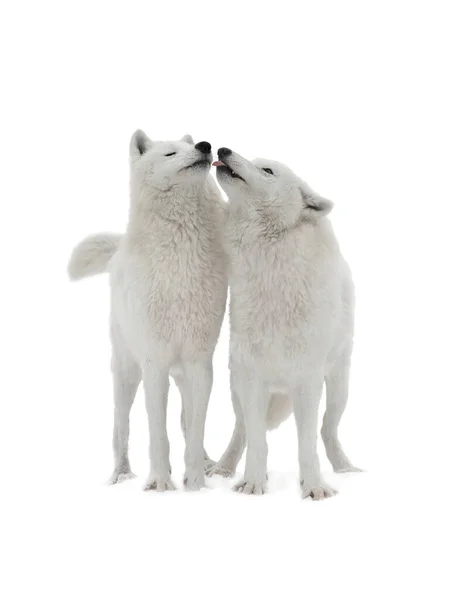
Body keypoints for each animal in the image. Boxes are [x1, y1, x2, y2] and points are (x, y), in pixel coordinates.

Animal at [67, 129, 228, 490]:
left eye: (190, 146)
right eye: (170, 154)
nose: (205, 146)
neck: (179, 263)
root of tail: (117, 254)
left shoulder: (200, 363)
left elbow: (195, 428)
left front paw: (196, 483)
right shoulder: (154, 364)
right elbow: (158, 434)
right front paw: (161, 483)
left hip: (180, 377)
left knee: (185, 421)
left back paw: (206, 464)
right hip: (127, 373)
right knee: (120, 429)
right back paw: (121, 474)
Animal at [207, 148, 362, 500]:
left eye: (267, 170)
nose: (223, 150)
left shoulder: (307, 381)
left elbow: (307, 443)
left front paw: (314, 487)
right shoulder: (251, 379)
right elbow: (256, 441)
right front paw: (253, 483)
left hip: (338, 387)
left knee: (327, 430)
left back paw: (346, 469)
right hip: (236, 386)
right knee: (241, 432)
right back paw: (223, 468)